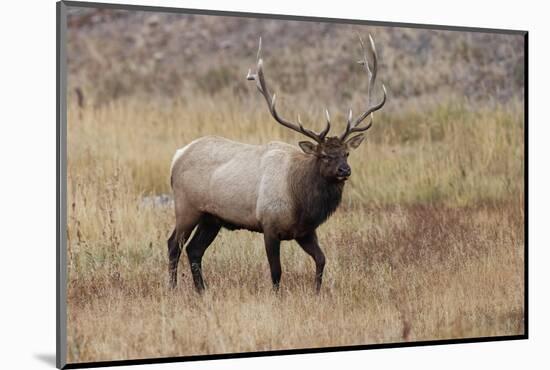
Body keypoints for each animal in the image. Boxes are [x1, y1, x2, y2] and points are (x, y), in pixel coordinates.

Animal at [168, 36, 388, 294]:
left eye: (346, 153)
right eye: (324, 155)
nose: (345, 170)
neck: (301, 201)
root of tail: (177, 156)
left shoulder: (305, 231)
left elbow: (322, 260)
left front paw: (316, 293)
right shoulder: (269, 225)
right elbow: (276, 271)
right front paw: (276, 296)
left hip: (212, 217)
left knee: (194, 249)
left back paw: (202, 291)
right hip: (187, 206)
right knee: (174, 244)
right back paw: (172, 288)